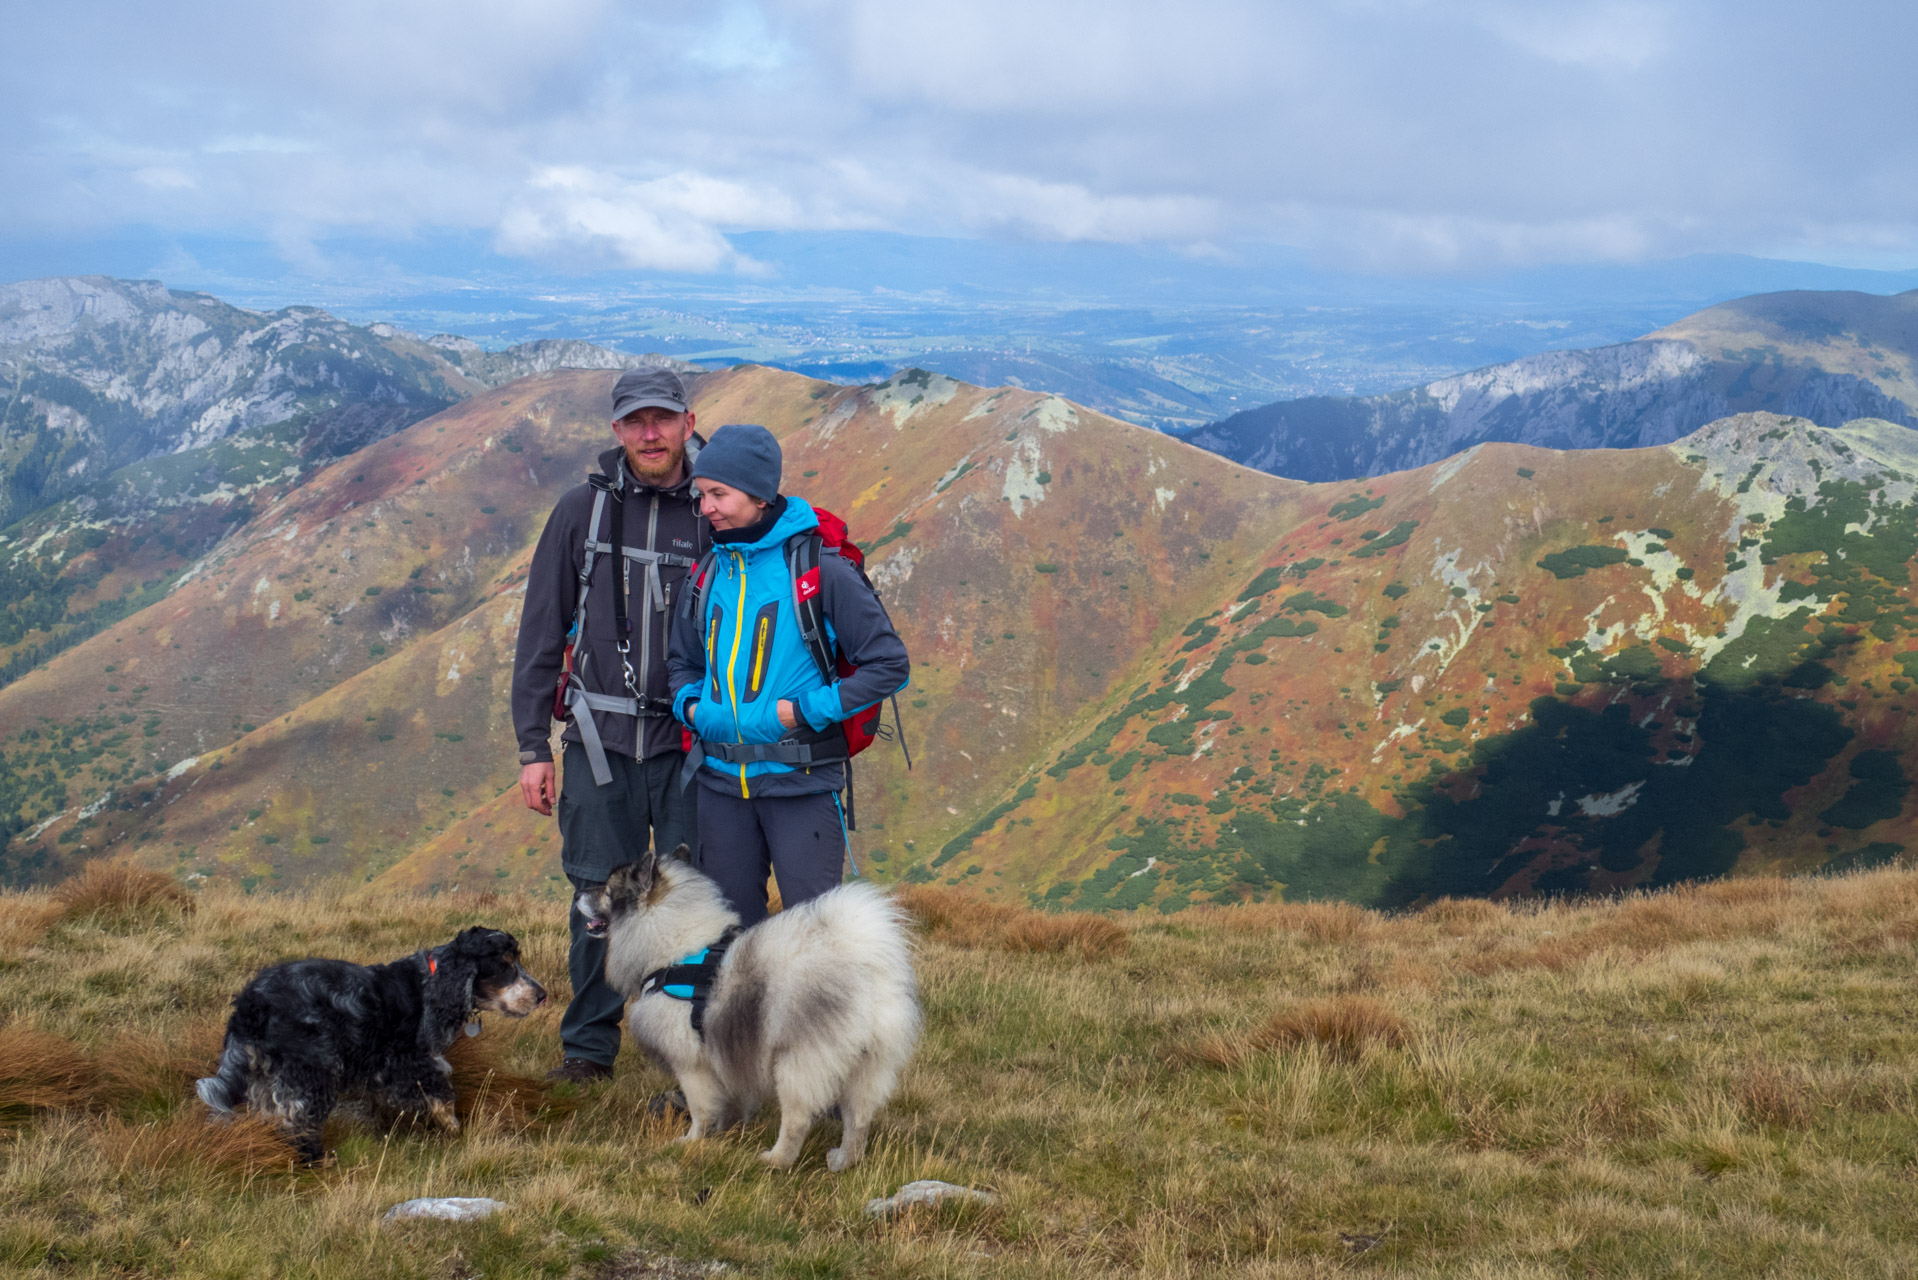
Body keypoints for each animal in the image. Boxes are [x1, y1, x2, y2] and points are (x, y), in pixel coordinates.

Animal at [196, 924, 548, 1166]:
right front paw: (454, 1131)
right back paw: (317, 1160)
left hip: (266, 1074)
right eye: (505, 965)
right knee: (298, 1118)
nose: (542, 995)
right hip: (314, 1068)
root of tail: (251, 1003)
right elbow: (441, 1096)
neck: (432, 984)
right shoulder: (410, 1061)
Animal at [575, 844, 920, 1174]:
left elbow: (701, 1108)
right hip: (868, 1067)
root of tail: (862, 962)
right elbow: (729, 1099)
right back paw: (843, 1161)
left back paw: (776, 1160)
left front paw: (692, 1140)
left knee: (798, 1120)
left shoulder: (691, 1064)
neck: (675, 954)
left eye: (607, 891)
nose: (578, 894)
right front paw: (726, 1130)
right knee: (858, 1120)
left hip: (798, 1063)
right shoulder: (724, 1057)